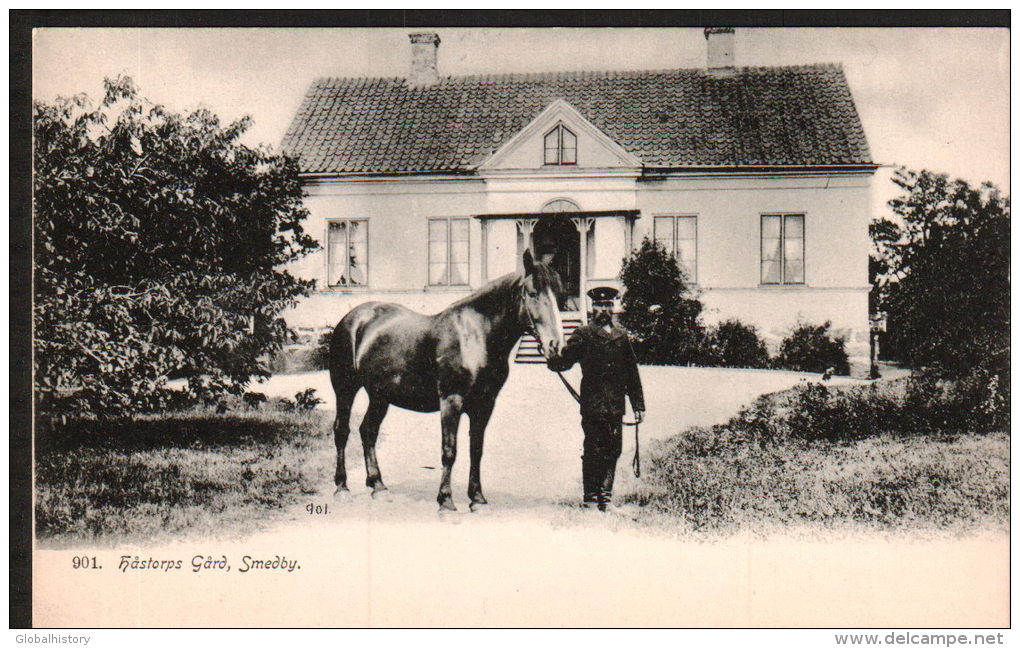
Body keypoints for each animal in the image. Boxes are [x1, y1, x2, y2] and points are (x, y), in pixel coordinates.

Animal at [328, 247, 563, 512]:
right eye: (532, 293)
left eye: (560, 294)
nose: (556, 347)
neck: (475, 336)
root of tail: (354, 317)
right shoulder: (451, 401)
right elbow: (449, 450)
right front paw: (446, 501)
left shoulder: (485, 405)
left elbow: (476, 450)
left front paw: (478, 499)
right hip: (345, 388)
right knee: (342, 430)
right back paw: (342, 488)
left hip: (380, 396)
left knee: (368, 431)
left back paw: (378, 486)